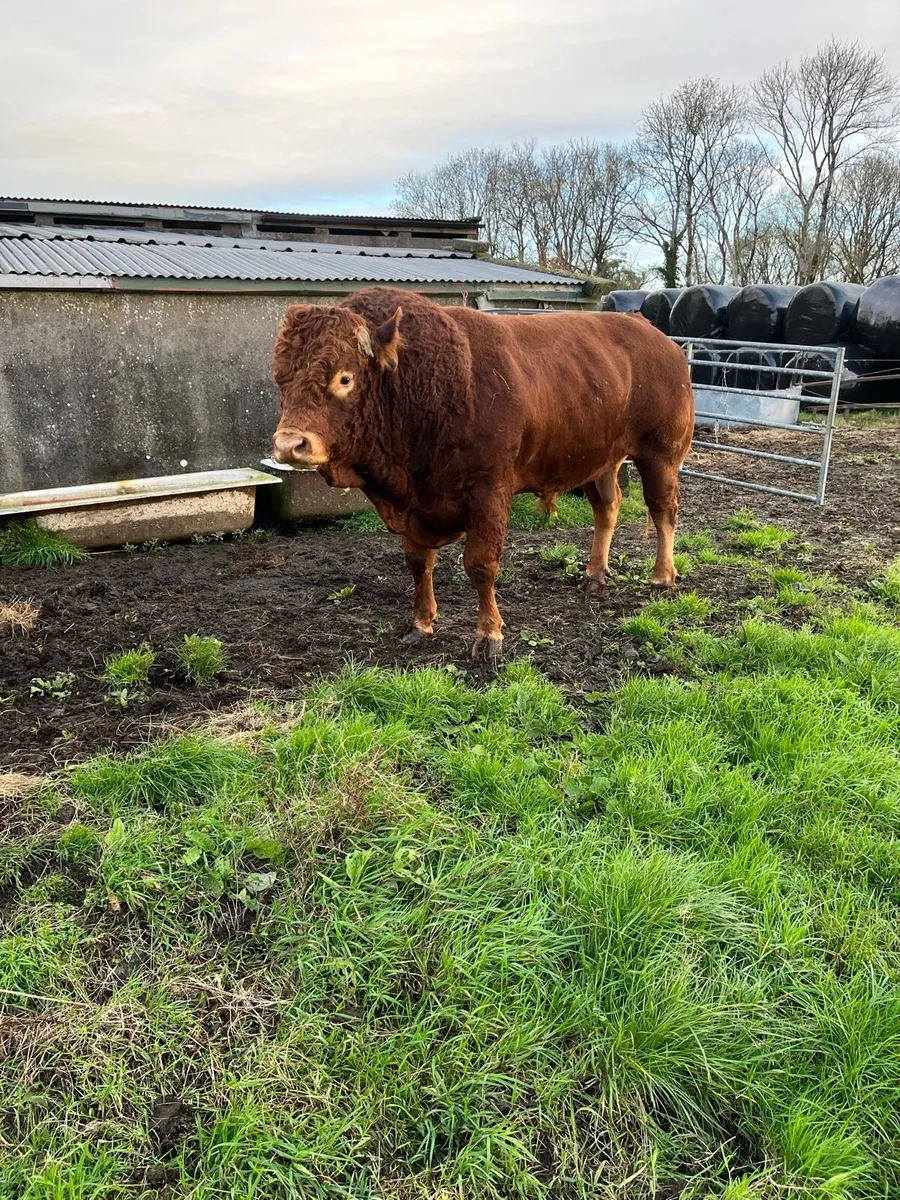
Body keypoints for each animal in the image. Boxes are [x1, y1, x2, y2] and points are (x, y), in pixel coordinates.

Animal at [271, 287, 694, 658]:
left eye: (344, 377)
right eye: (281, 379)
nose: (290, 444)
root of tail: (657, 337)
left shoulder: (489, 493)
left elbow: (480, 564)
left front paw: (489, 635)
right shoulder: (414, 504)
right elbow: (418, 562)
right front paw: (421, 624)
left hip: (660, 455)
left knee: (663, 511)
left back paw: (662, 576)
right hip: (602, 460)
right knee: (607, 507)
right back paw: (594, 575)